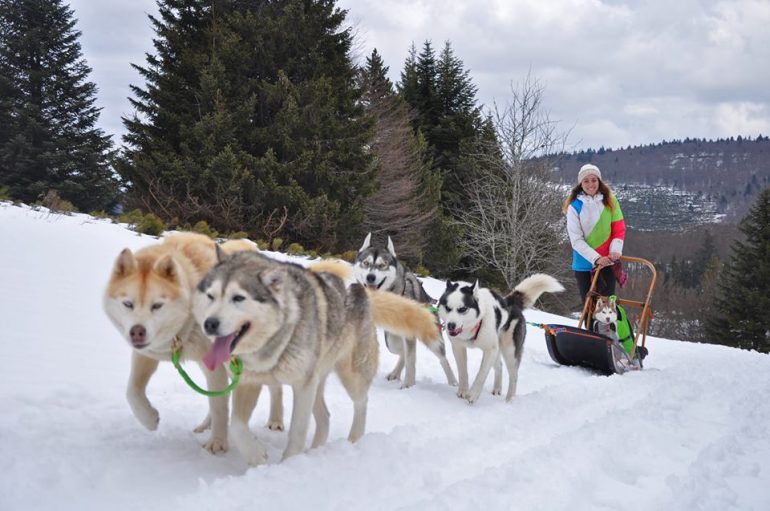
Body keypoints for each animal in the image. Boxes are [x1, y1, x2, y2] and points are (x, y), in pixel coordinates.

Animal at [102, 234, 282, 454]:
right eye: (128, 304)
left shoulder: (215, 367)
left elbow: (219, 406)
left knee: (274, 388)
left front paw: (218, 443)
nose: (137, 332)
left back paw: (275, 420)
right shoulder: (148, 354)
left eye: (157, 305)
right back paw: (205, 425)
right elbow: (132, 392)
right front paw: (149, 419)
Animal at [195, 250, 440, 466]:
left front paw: (289, 464)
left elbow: (297, 431)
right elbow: (237, 425)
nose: (209, 324)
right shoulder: (249, 382)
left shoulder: (303, 386)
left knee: (361, 403)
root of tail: (360, 290)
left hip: (350, 375)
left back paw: (353, 441)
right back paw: (315, 451)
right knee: (325, 417)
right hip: (318, 382)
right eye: (211, 296)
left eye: (238, 298)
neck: (277, 341)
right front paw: (257, 457)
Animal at [354, 233, 456, 388]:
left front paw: (408, 386)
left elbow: (411, 361)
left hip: (430, 337)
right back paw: (395, 373)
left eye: (382, 265)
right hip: (391, 340)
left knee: (442, 358)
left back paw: (453, 382)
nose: (370, 277)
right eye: (366, 263)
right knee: (402, 352)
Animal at [438, 276, 564, 404]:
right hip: (497, 350)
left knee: (514, 376)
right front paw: (463, 391)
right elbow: (463, 372)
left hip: (510, 352)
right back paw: (497, 389)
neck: (475, 325)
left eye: (463, 309)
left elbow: (482, 374)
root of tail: (509, 303)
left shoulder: (489, 350)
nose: (450, 325)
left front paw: (473, 394)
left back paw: (510, 399)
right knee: (499, 365)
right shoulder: (458, 348)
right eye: (448, 308)